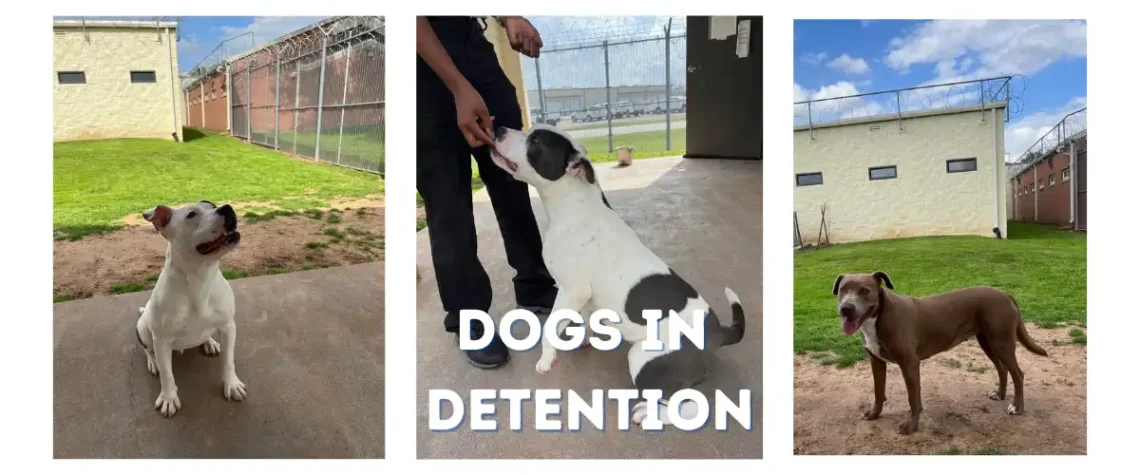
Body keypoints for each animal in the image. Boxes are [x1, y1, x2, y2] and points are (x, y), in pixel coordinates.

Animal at [135, 200, 247, 414]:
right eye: (191, 215)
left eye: (212, 204)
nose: (227, 208)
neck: (201, 277)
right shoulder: (161, 340)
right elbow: (167, 374)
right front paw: (169, 398)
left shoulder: (229, 326)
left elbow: (229, 361)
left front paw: (232, 385)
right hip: (143, 328)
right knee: (148, 349)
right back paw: (153, 362)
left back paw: (209, 342)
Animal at [487, 123, 747, 426]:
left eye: (537, 140)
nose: (497, 127)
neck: (574, 205)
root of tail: (718, 332)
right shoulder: (580, 295)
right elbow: (579, 318)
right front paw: (581, 337)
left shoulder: (572, 289)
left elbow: (550, 327)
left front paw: (546, 359)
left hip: (644, 358)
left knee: (689, 408)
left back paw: (650, 414)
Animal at [834, 269, 1044, 432]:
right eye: (842, 290)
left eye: (865, 290)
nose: (846, 308)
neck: (879, 317)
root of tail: (1004, 293)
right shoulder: (876, 361)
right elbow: (878, 392)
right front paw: (874, 414)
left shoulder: (909, 364)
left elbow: (913, 398)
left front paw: (911, 427)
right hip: (988, 342)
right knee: (1002, 368)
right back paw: (999, 394)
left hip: (1002, 343)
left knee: (1018, 373)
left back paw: (1017, 407)